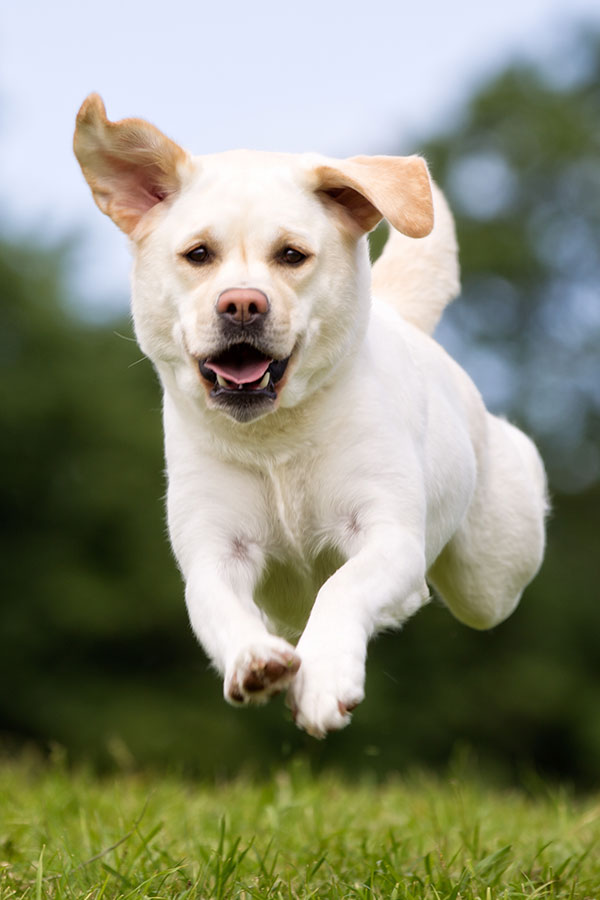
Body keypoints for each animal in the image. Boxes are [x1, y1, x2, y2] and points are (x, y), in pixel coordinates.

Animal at [72, 95, 548, 740]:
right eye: (199, 255)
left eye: (291, 255)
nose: (241, 304)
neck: (273, 441)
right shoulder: (214, 555)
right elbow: (220, 609)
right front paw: (254, 661)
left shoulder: (390, 537)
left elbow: (341, 589)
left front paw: (323, 681)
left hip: (492, 574)